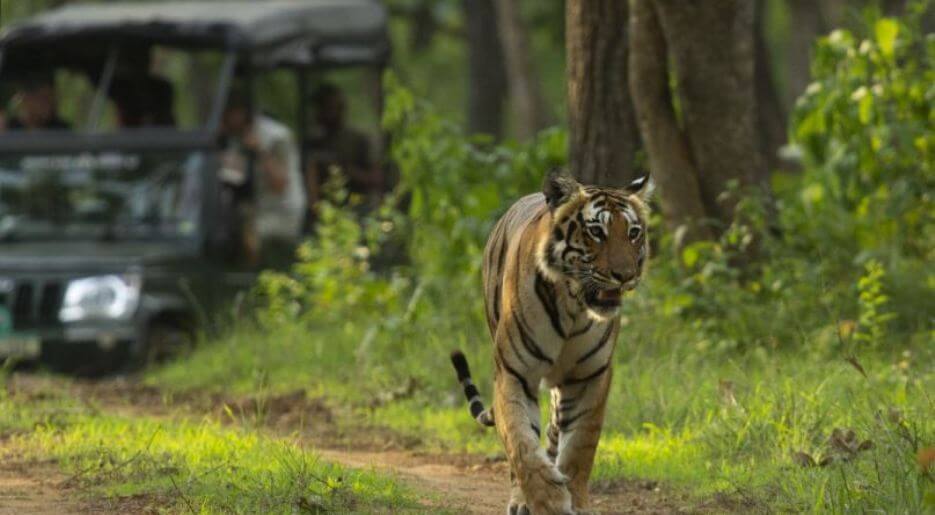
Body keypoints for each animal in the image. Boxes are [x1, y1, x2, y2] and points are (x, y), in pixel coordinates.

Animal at [452, 171, 652, 512]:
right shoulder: (514, 374)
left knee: (554, 431)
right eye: (596, 232)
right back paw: (521, 500)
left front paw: (575, 500)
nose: (625, 275)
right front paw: (548, 500)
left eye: (633, 233)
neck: (573, 306)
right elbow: (522, 444)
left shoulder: (589, 377)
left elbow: (579, 448)